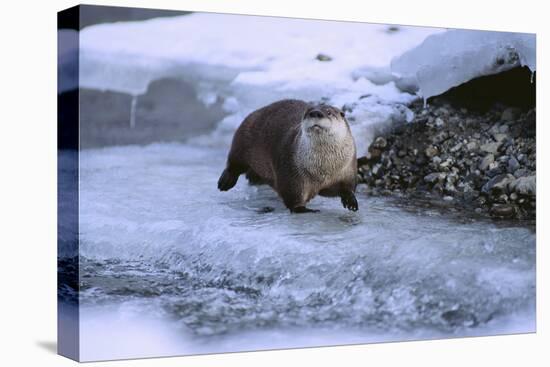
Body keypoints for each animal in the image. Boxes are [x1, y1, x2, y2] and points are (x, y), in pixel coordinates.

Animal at [218, 99, 360, 214]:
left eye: (329, 112)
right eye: (307, 112)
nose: (315, 113)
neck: (323, 171)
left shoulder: (347, 170)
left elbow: (345, 188)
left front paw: (351, 201)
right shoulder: (292, 172)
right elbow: (292, 195)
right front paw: (301, 209)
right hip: (243, 138)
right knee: (234, 162)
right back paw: (225, 182)